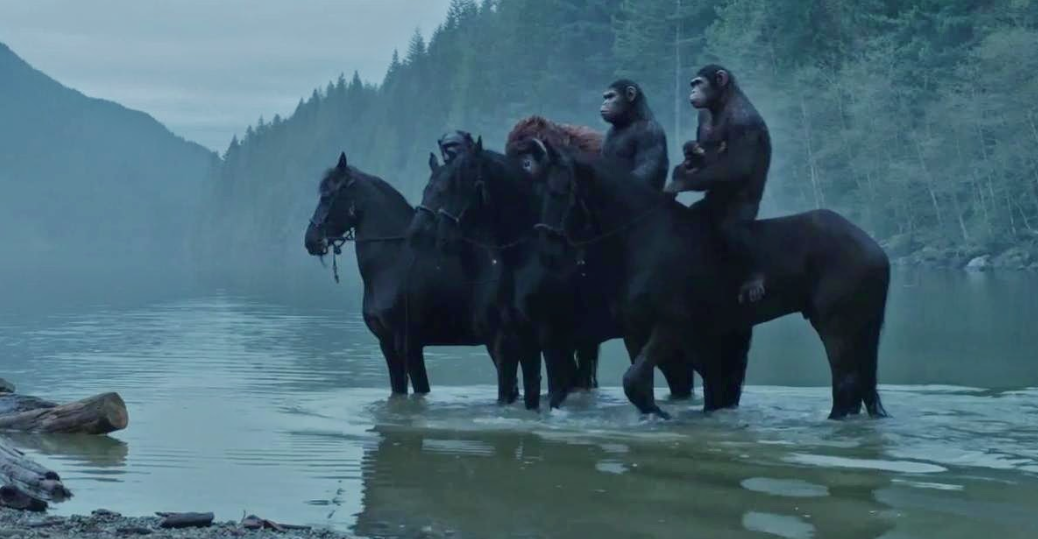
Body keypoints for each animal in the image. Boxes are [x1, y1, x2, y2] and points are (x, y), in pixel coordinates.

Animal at [525, 140, 890, 419]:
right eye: (540, 191)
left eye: (562, 190)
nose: (547, 252)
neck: (647, 236)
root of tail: (876, 250)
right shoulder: (648, 332)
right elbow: (657, 386)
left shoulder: (671, 326)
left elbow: (635, 381)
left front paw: (660, 415)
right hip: (859, 329)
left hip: (834, 326)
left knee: (845, 385)